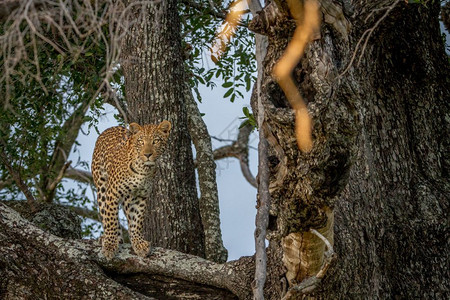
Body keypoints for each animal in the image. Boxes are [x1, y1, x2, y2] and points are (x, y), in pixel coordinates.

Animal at [90, 120, 171, 260]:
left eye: (156, 141)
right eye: (141, 141)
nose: (147, 155)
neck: (143, 170)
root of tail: (109, 129)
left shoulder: (140, 196)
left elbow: (137, 220)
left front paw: (139, 243)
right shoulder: (112, 192)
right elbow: (111, 219)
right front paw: (110, 245)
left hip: (128, 197)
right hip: (101, 186)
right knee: (105, 212)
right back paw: (108, 238)